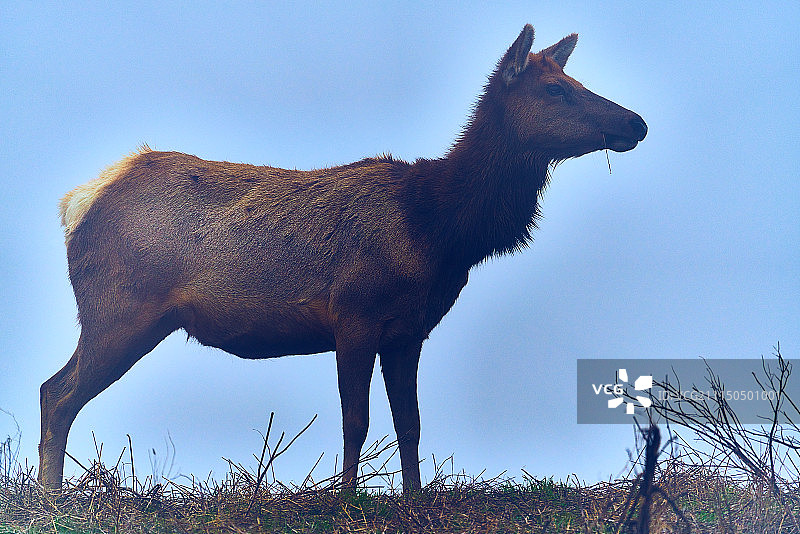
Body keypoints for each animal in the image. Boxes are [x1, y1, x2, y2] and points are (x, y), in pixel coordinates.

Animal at [39, 24, 647, 493]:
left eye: (576, 82)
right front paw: (350, 500)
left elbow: (410, 423)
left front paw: (414, 498)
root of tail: (79, 200)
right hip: (121, 310)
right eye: (557, 91)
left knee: (55, 389)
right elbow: (357, 420)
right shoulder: (354, 314)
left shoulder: (408, 331)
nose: (635, 122)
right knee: (57, 393)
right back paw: (49, 498)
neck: (441, 229)